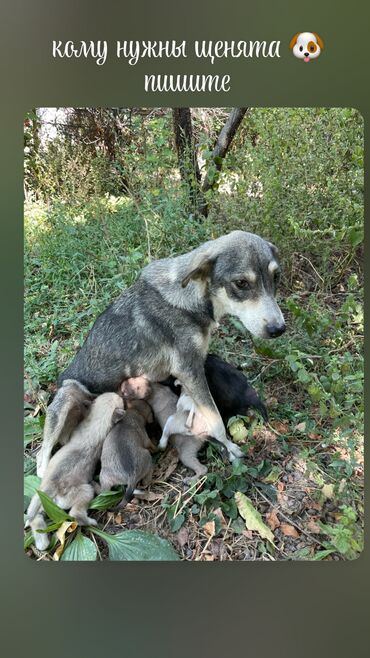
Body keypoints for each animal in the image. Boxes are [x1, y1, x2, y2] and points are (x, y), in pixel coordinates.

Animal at [36, 228, 284, 474]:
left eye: (276, 277)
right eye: (241, 283)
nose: (279, 329)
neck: (192, 296)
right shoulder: (189, 370)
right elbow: (216, 420)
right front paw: (229, 448)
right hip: (67, 396)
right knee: (41, 458)